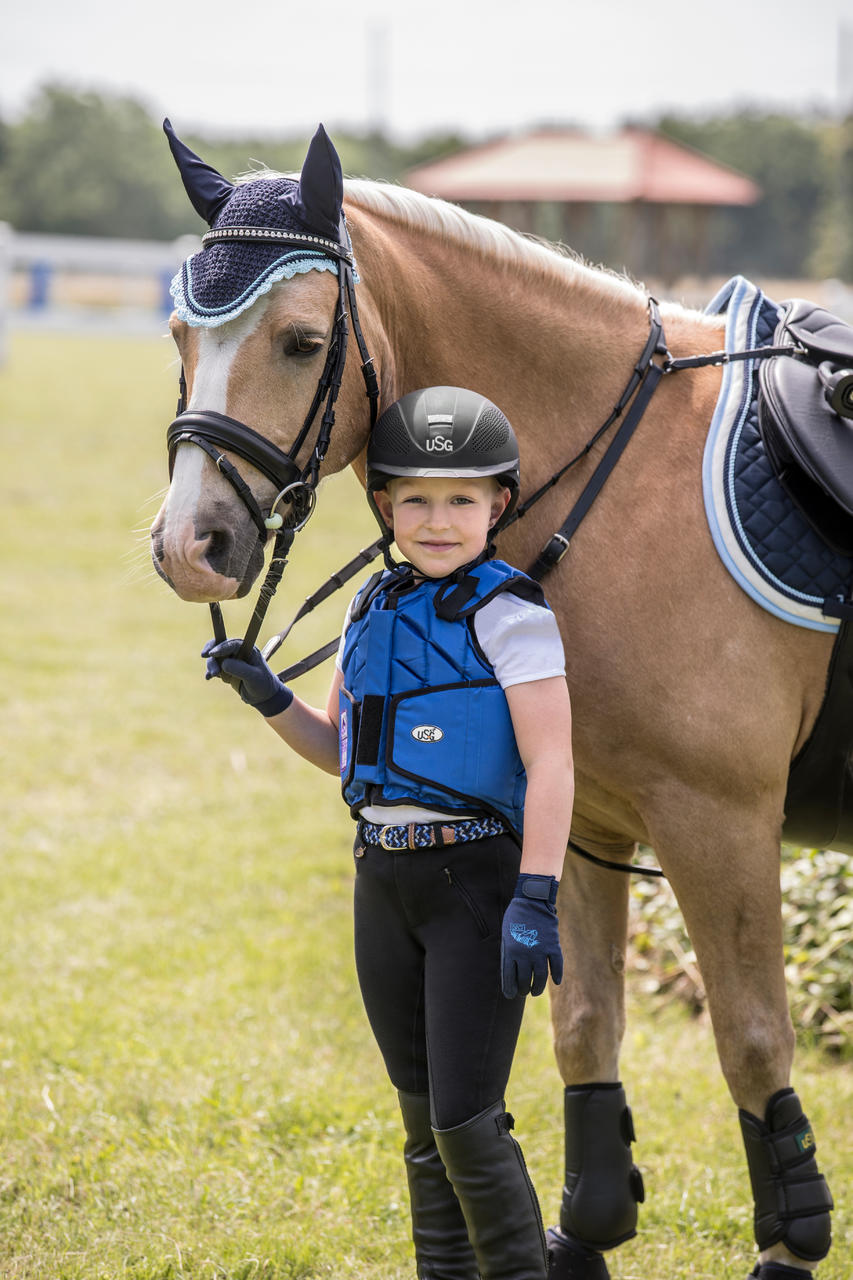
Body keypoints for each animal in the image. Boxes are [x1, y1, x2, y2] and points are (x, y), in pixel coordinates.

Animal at [147, 122, 835, 1280]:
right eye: (179, 338)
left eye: (299, 342)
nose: (187, 546)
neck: (622, 482)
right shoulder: (593, 819)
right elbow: (582, 1029)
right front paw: (586, 1227)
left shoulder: (720, 821)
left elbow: (751, 1043)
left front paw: (789, 1246)